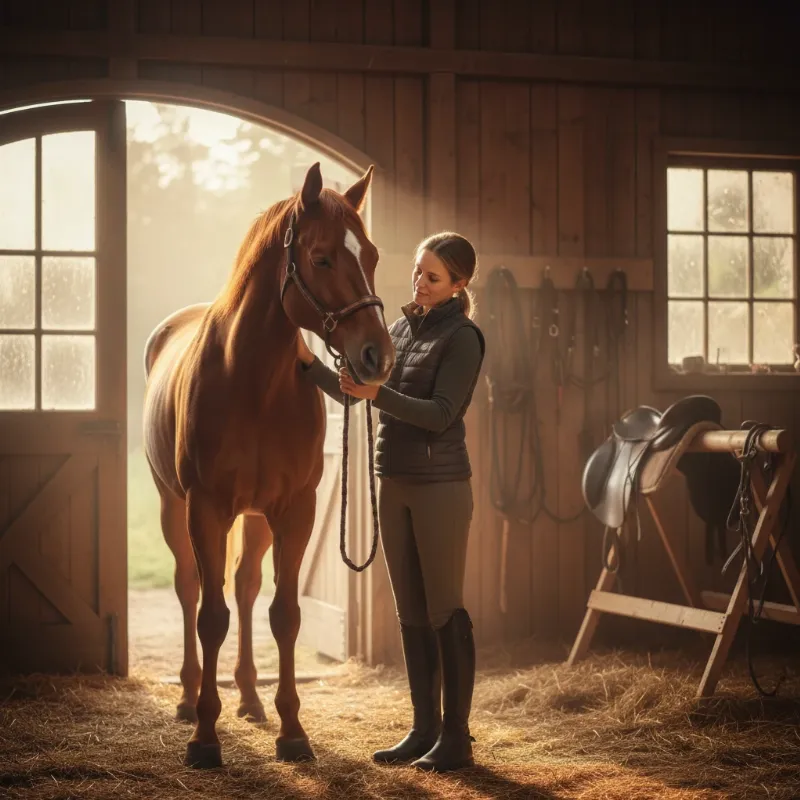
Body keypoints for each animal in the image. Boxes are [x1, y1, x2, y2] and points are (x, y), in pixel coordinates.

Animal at [142, 162, 395, 768]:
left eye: (372, 255)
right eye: (321, 257)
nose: (377, 357)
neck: (252, 381)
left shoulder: (294, 510)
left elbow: (284, 614)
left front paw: (292, 731)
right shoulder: (206, 508)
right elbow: (210, 616)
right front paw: (204, 738)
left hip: (255, 519)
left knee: (246, 587)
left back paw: (251, 700)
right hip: (172, 507)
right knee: (190, 588)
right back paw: (187, 699)